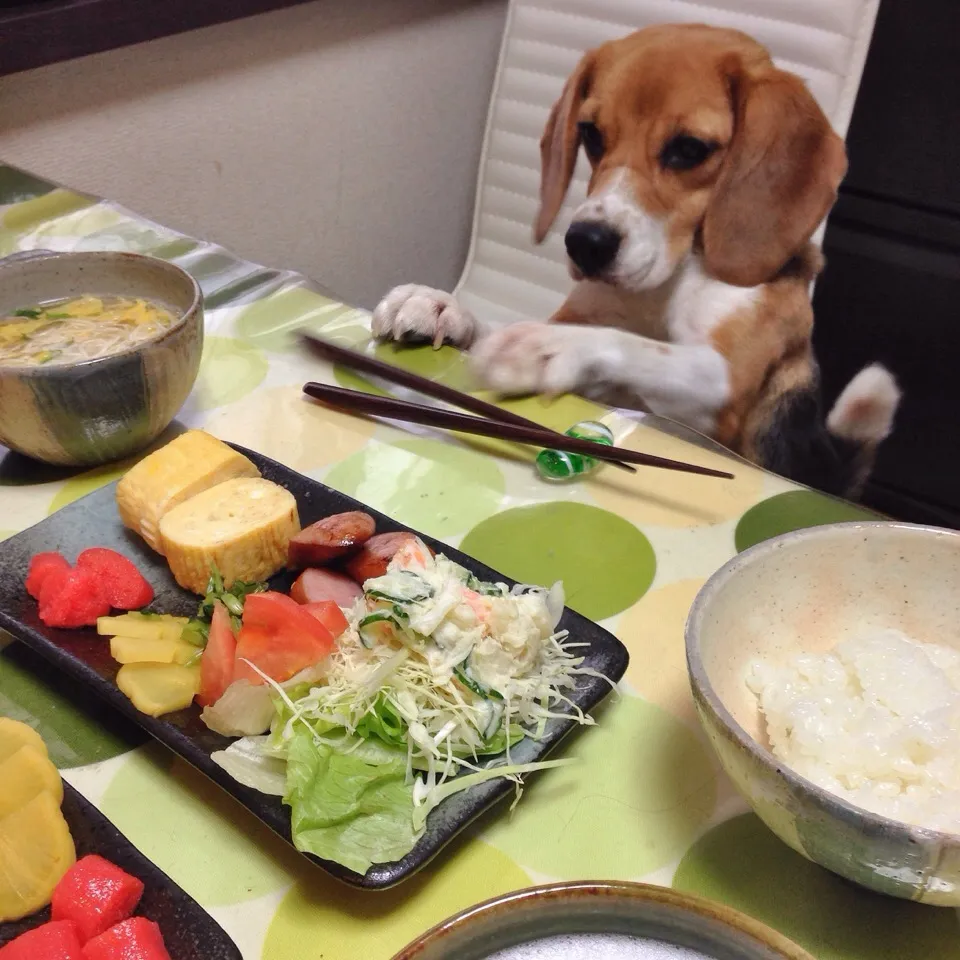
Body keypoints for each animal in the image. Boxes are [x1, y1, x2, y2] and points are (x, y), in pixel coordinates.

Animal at [370, 24, 900, 496]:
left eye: (689, 149)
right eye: (590, 134)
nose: (585, 243)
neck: (666, 282)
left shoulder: (724, 382)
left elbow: (634, 346)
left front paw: (543, 347)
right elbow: (498, 325)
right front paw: (440, 306)